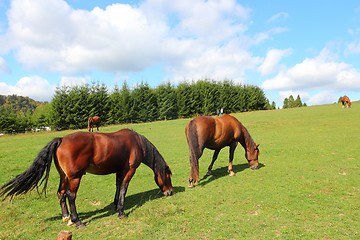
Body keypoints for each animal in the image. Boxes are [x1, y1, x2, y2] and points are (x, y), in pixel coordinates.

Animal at [0, 129, 173, 229]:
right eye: (168, 176)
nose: (170, 192)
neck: (137, 142)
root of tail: (61, 139)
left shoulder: (120, 170)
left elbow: (118, 186)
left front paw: (116, 205)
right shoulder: (129, 170)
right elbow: (124, 187)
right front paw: (121, 212)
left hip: (64, 176)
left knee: (61, 193)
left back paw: (66, 217)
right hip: (74, 178)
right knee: (71, 196)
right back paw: (77, 221)